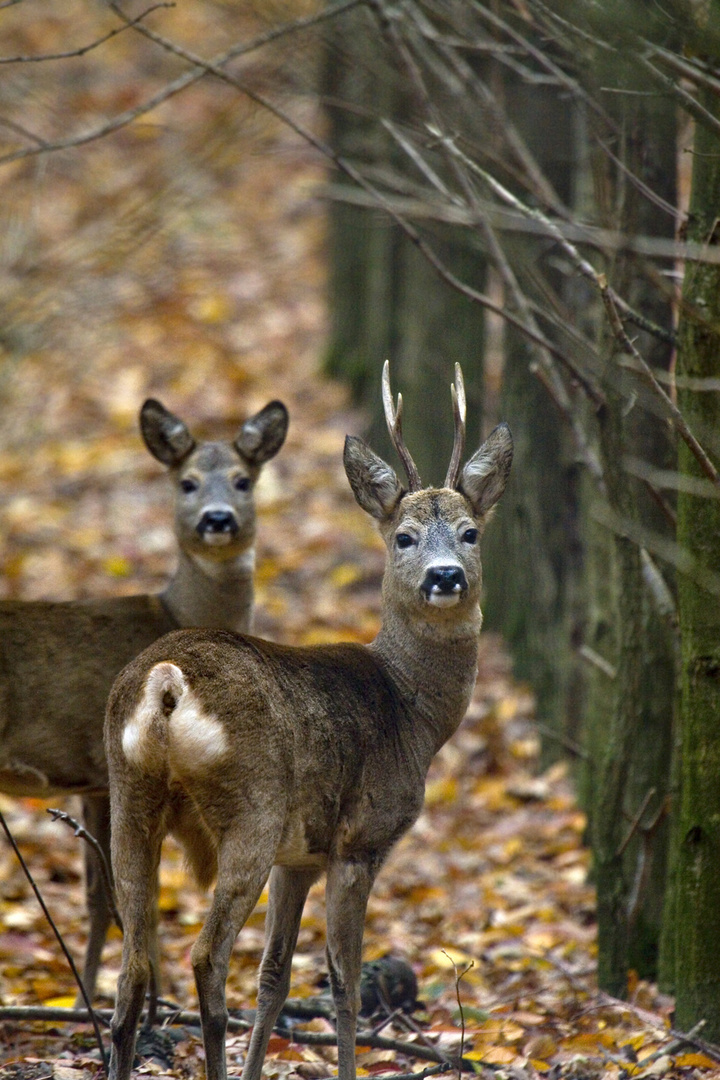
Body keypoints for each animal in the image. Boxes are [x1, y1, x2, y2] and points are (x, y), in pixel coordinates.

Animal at [0, 393, 287, 997]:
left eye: (243, 479)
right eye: (187, 482)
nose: (218, 519)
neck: (175, 614)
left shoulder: (90, 780)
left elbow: (105, 899)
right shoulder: (104, 767)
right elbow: (125, 901)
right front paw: (133, 999)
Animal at [105, 365, 511, 1080]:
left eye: (470, 532)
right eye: (403, 536)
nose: (445, 577)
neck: (413, 711)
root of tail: (165, 683)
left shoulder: (300, 858)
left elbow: (274, 977)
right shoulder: (360, 839)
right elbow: (343, 980)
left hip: (129, 795)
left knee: (130, 971)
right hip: (253, 807)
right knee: (205, 956)